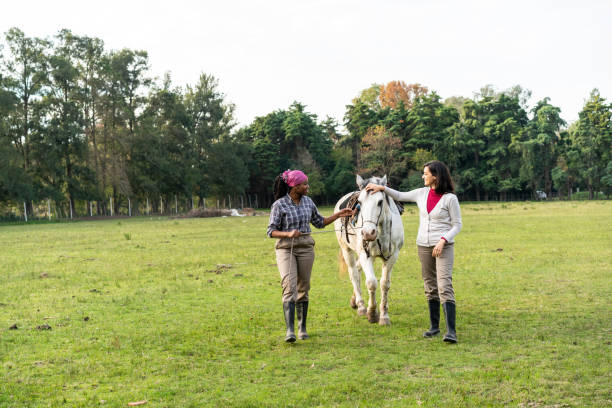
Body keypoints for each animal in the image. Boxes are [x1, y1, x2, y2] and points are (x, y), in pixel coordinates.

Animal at [332, 175, 404, 326]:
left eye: (380, 202)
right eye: (359, 202)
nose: (368, 233)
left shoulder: (392, 256)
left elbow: (384, 284)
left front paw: (384, 316)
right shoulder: (366, 255)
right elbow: (371, 283)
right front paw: (372, 313)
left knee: (358, 269)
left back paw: (354, 300)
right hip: (347, 249)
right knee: (353, 273)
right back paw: (360, 306)